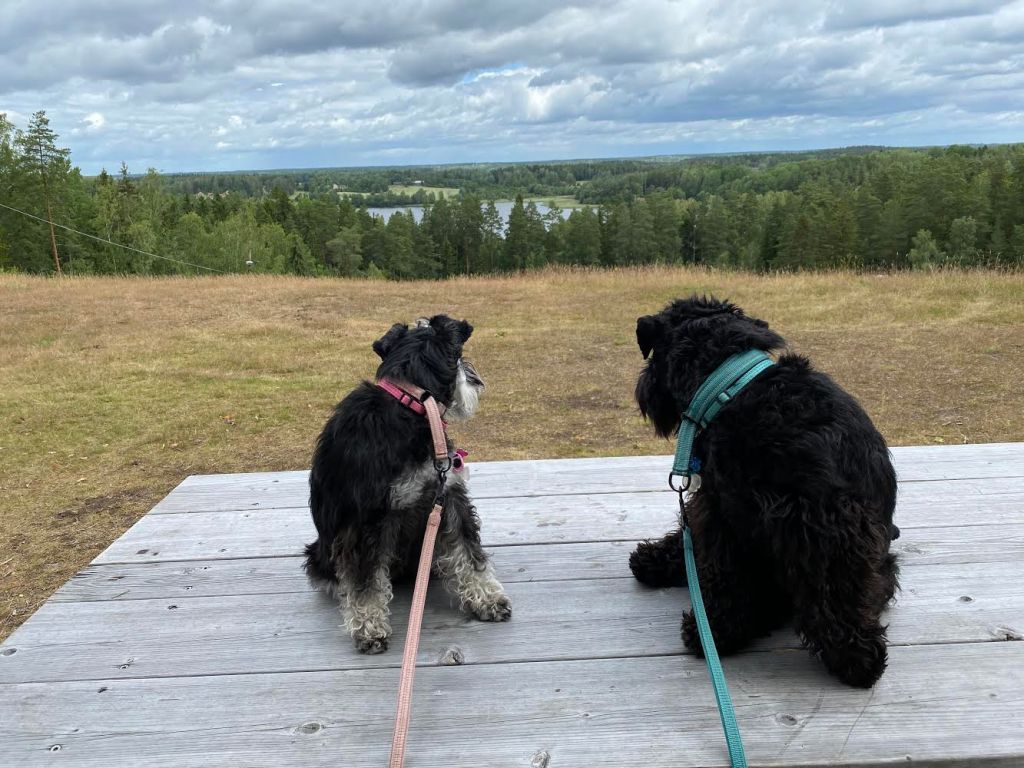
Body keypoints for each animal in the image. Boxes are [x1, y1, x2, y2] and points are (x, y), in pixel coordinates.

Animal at [304, 315, 511, 654]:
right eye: (459, 357)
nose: (476, 381)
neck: (412, 404)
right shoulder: (366, 522)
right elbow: (364, 583)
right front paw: (369, 627)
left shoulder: (449, 496)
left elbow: (469, 553)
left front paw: (488, 599)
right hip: (321, 554)